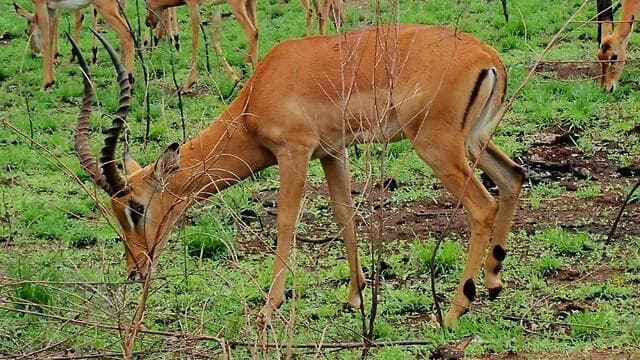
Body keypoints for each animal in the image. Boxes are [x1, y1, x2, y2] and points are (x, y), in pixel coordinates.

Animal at [75, 23, 524, 326]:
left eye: (135, 207)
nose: (135, 270)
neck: (259, 91)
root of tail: (487, 58)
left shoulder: (295, 152)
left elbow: (287, 222)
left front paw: (269, 307)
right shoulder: (332, 152)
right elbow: (344, 215)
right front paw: (354, 297)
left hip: (437, 147)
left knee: (483, 206)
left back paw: (454, 311)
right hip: (474, 142)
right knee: (513, 176)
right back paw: (493, 282)